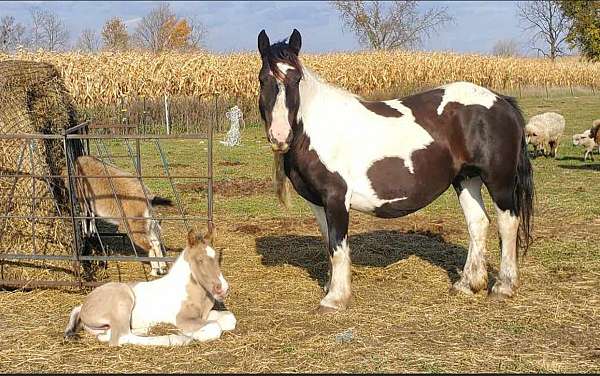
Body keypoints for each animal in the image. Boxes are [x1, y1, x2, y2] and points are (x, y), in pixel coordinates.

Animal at [64, 225, 234, 346]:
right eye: (199, 260)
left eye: (217, 258)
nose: (223, 288)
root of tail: (83, 305)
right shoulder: (182, 319)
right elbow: (214, 327)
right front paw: (192, 334)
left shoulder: (204, 315)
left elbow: (229, 319)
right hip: (123, 299)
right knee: (121, 337)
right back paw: (177, 339)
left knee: (110, 335)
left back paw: (146, 328)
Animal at [258, 28, 536, 314]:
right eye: (262, 80)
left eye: (296, 79)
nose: (280, 136)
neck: (317, 128)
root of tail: (501, 101)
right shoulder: (318, 202)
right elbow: (329, 243)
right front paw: (331, 286)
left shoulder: (336, 197)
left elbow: (338, 245)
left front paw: (335, 298)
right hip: (466, 178)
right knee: (477, 223)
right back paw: (467, 284)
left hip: (499, 180)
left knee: (507, 223)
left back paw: (503, 286)